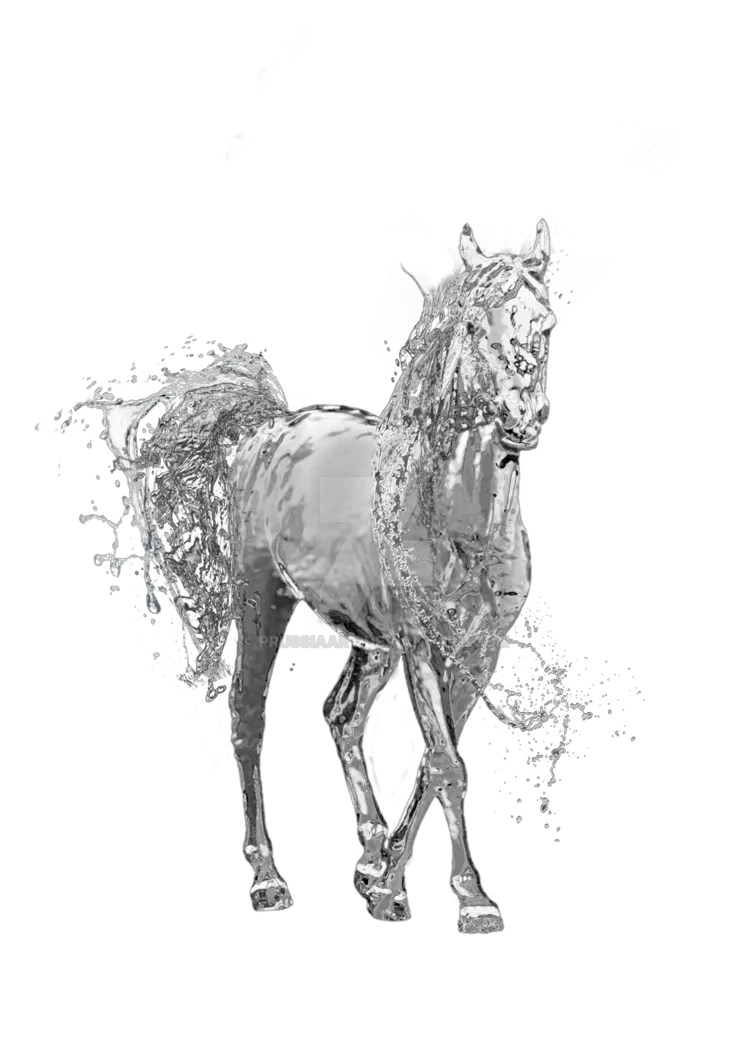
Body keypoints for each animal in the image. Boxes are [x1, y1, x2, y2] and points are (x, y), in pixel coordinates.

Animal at [228, 220, 556, 933]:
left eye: (544, 320)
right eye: (471, 322)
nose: (522, 419)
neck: (455, 520)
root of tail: (270, 432)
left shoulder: (477, 652)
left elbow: (436, 762)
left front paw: (393, 888)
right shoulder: (425, 649)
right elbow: (448, 763)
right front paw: (472, 900)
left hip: (371, 640)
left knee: (343, 717)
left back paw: (373, 855)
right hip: (261, 598)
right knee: (247, 714)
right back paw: (267, 879)